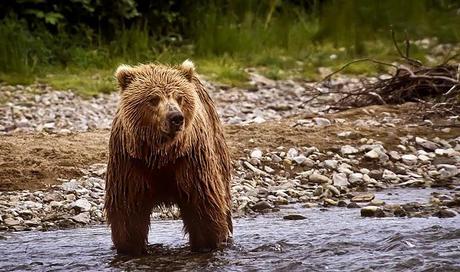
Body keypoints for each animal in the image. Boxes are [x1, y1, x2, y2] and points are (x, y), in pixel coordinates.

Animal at [104, 60, 234, 256]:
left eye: (179, 97)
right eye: (153, 99)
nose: (176, 117)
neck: (161, 155)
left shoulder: (190, 160)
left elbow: (203, 206)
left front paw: (207, 244)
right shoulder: (130, 163)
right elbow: (128, 212)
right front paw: (130, 247)